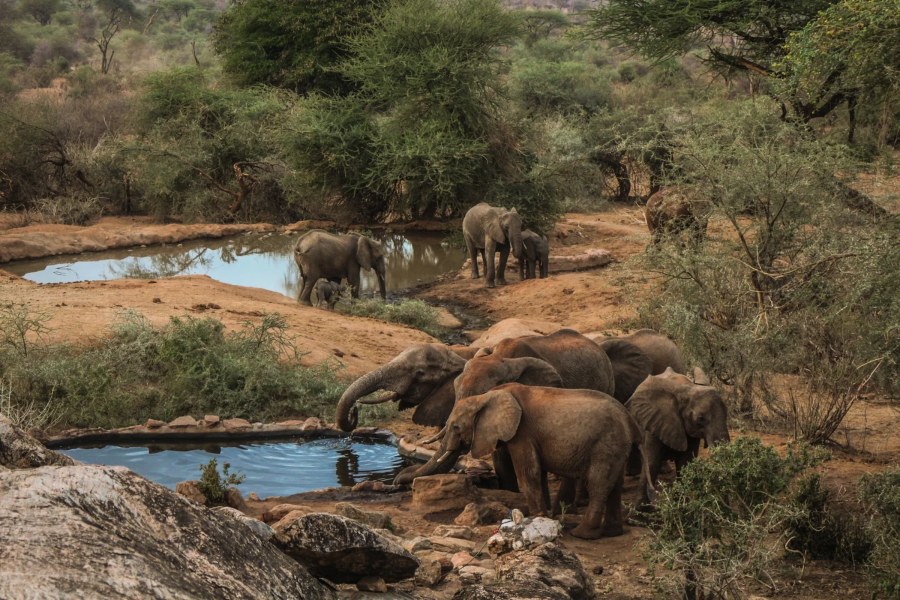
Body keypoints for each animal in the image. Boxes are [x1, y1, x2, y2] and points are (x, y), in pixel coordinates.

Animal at [396, 383, 648, 539]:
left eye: (456, 427)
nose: (397, 482)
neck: (487, 396)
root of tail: (631, 421)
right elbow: (539, 473)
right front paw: (546, 516)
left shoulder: (522, 432)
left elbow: (529, 473)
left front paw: (537, 519)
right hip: (616, 446)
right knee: (614, 486)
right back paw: (612, 533)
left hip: (606, 444)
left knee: (598, 485)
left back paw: (583, 534)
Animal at [627, 368, 730, 507]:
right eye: (700, 418)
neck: (688, 391)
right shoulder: (654, 421)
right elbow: (652, 463)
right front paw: (641, 510)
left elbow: (685, 463)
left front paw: (682, 506)